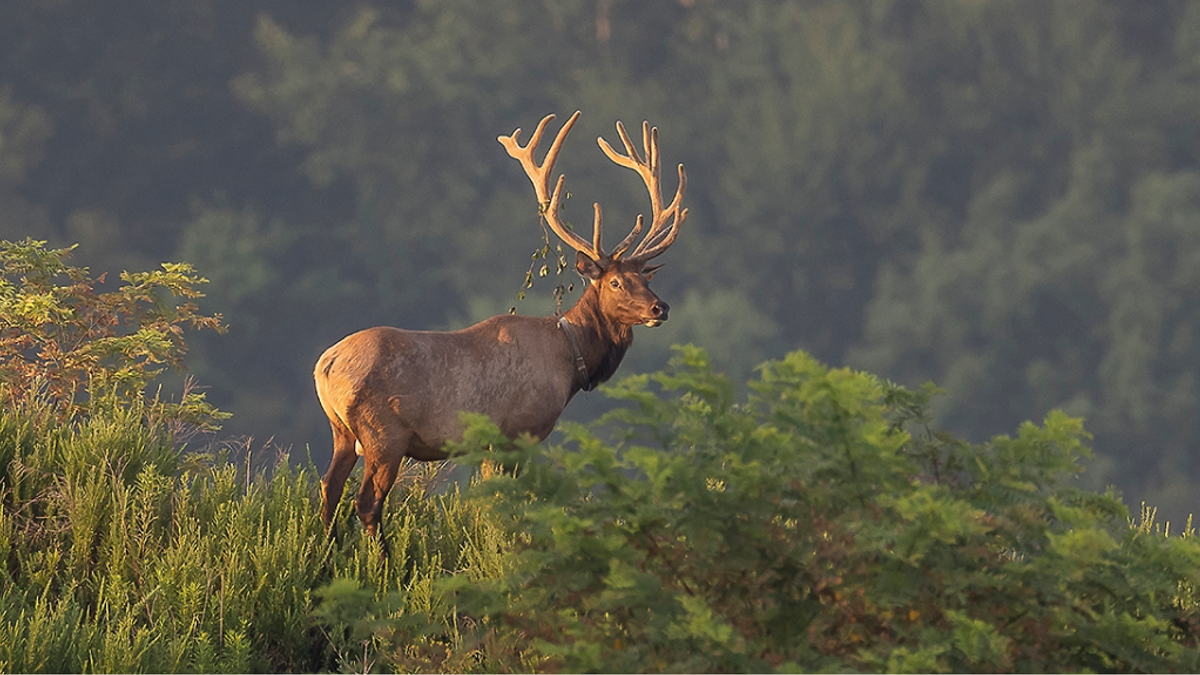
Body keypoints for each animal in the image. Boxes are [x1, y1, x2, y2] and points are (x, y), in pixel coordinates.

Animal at [313, 111, 687, 543]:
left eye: (645, 278)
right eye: (615, 282)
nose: (660, 308)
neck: (569, 361)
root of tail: (325, 365)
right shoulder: (515, 433)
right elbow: (506, 506)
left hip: (341, 431)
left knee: (329, 488)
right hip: (383, 433)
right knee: (367, 502)